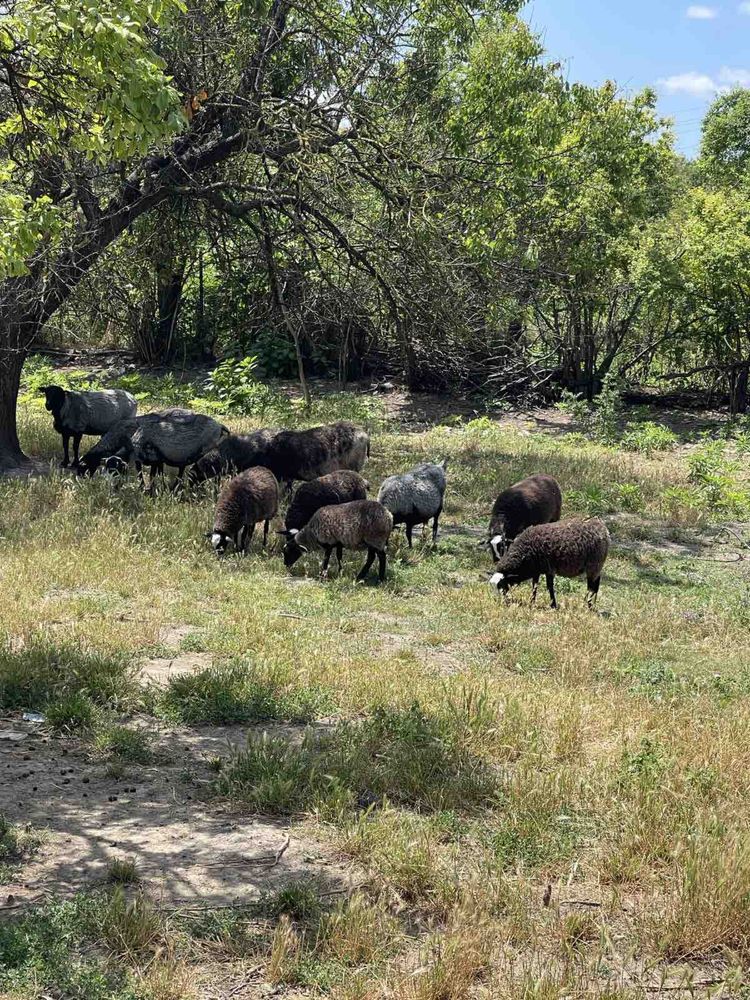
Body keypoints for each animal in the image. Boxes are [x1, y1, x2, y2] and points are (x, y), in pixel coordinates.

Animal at [78, 404, 229, 486]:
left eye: (84, 467)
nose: (81, 482)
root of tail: (219, 426)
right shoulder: (146, 460)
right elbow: (146, 474)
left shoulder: (153, 459)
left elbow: (149, 476)